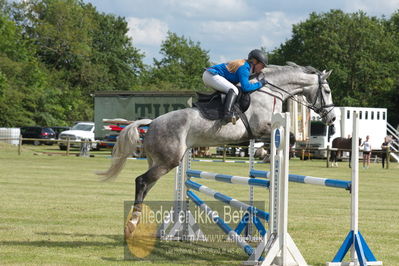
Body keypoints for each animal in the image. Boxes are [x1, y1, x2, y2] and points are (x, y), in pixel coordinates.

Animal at [97, 61, 338, 237]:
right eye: (326, 90)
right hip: (168, 161)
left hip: (159, 161)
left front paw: (266, 156)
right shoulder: (261, 127)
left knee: (146, 185)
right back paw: (131, 224)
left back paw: (135, 221)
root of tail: (152, 123)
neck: (269, 91)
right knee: (141, 181)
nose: (333, 118)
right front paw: (270, 157)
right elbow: (289, 137)